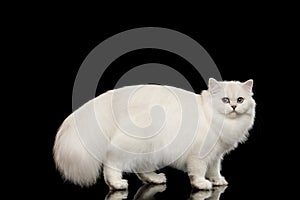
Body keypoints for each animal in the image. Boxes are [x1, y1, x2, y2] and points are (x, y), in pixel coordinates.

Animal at [53, 77, 255, 190]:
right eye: (225, 100)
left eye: (240, 99)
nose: (234, 106)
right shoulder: (199, 155)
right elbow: (198, 172)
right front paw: (202, 184)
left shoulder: (216, 155)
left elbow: (214, 170)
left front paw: (218, 181)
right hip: (135, 145)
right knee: (112, 165)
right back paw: (117, 184)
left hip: (148, 149)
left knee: (141, 170)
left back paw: (155, 179)